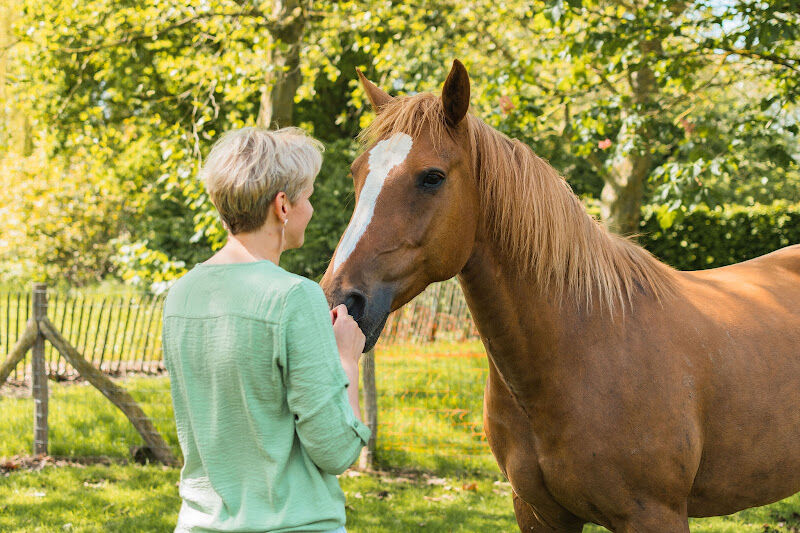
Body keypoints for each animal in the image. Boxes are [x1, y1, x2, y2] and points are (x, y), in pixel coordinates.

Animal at [318, 60, 800, 528]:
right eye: (358, 172)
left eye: (432, 177)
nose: (340, 301)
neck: (582, 346)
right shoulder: (537, 512)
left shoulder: (654, 515)